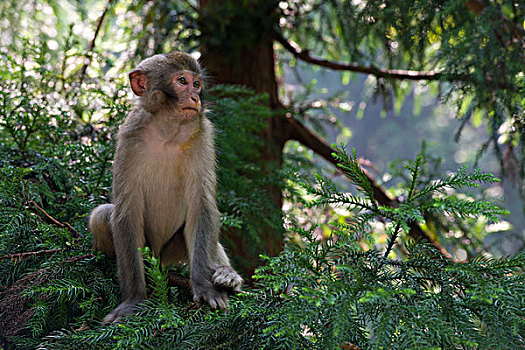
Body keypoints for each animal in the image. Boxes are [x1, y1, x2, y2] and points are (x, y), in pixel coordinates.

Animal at [89, 50, 244, 324]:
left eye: (196, 83)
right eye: (181, 81)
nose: (195, 97)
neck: (167, 132)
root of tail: (160, 258)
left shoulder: (202, 134)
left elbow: (202, 205)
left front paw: (205, 287)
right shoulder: (129, 136)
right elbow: (125, 212)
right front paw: (134, 301)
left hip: (173, 251)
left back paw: (227, 276)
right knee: (102, 214)